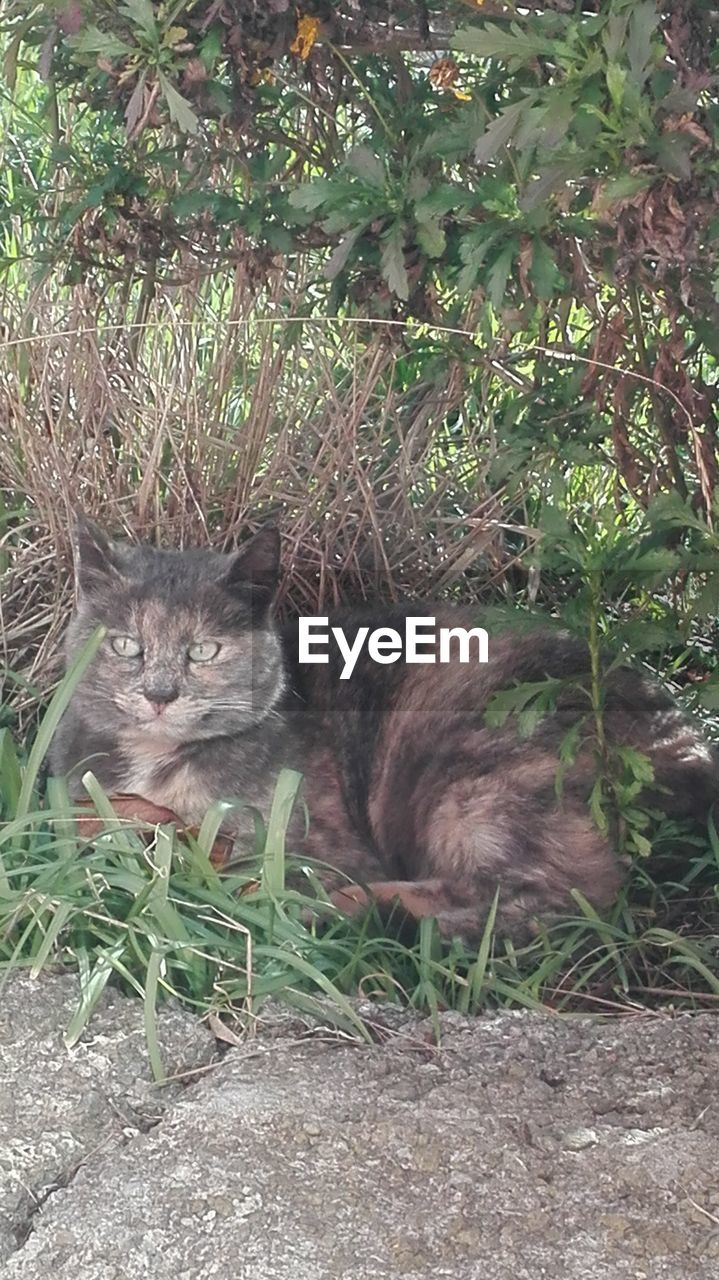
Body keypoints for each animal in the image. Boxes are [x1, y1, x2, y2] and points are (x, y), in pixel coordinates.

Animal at [50, 514, 716, 947]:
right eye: (126, 645)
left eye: (203, 650)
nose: (160, 694)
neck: (155, 762)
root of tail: (688, 744)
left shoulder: (315, 840)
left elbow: (194, 841)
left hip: (469, 778)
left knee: (560, 902)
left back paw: (347, 913)